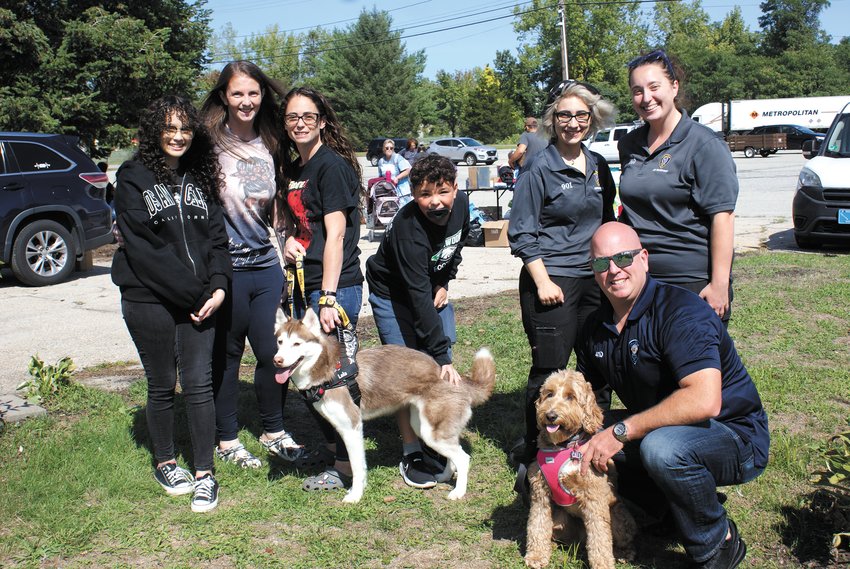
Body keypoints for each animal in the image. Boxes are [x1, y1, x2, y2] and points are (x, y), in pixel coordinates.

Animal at [272, 308, 496, 504]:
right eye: (280, 342)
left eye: (297, 344)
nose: (277, 360)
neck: (329, 372)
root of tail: (454, 376)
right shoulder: (344, 428)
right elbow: (358, 465)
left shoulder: (352, 427)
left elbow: (357, 467)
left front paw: (355, 496)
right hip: (425, 427)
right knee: (454, 454)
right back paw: (444, 476)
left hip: (432, 433)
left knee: (463, 458)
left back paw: (458, 492)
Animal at [524, 370, 636, 564]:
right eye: (549, 394)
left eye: (571, 397)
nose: (550, 416)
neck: (563, 446)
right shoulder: (540, 493)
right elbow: (537, 524)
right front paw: (536, 555)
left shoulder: (594, 497)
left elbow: (600, 536)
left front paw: (602, 564)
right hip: (560, 518)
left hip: (618, 517)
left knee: (620, 539)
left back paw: (624, 553)